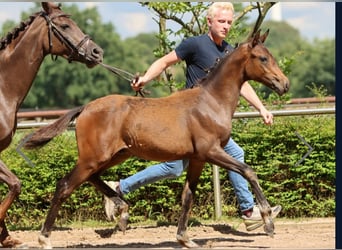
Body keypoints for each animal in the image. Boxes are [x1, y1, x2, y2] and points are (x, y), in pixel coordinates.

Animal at [0, 1, 103, 248]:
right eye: (65, 26)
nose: (97, 52)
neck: (2, 90)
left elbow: (14, 184)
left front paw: (6, 237)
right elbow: (14, 185)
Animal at [23, 30, 288, 249]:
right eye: (263, 58)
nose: (284, 84)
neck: (210, 102)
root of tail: (86, 107)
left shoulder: (198, 158)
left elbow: (188, 196)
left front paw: (185, 239)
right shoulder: (211, 152)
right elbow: (248, 171)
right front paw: (268, 221)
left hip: (115, 155)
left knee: (94, 178)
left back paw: (121, 211)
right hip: (93, 158)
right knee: (65, 185)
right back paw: (44, 238)